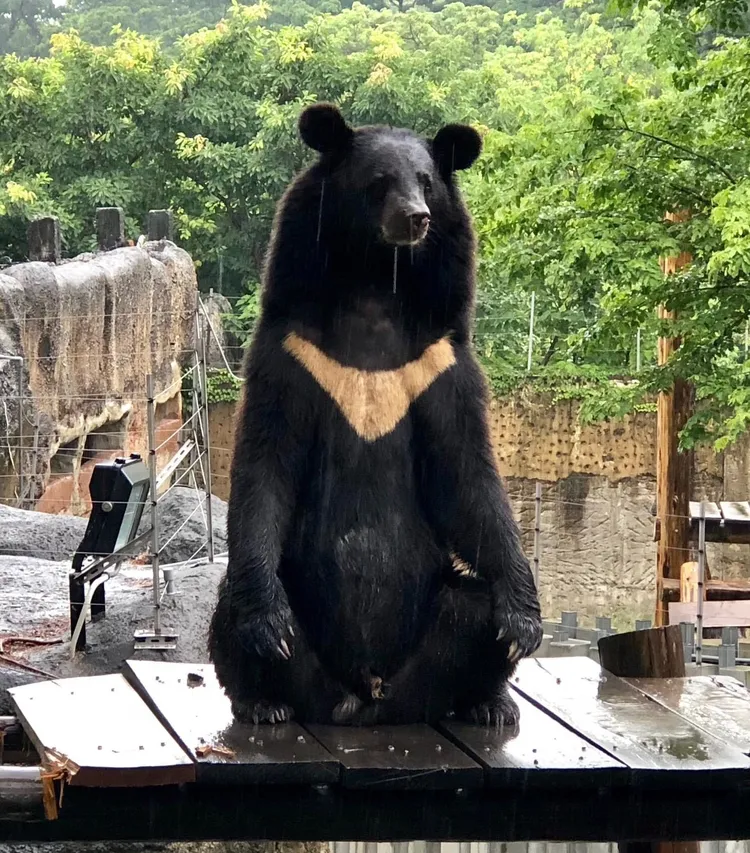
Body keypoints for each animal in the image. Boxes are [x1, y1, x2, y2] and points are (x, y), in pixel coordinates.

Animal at [207, 103, 543, 727]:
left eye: (427, 182)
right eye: (380, 181)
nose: (415, 219)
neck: (374, 286)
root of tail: (367, 699)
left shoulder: (440, 361)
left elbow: (468, 475)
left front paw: (524, 622)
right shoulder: (292, 352)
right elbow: (266, 462)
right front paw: (269, 629)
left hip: (430, 639)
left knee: (472, 608)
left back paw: (489, 701)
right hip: (307, 634)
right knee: (230, 612)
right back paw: (263, 699)